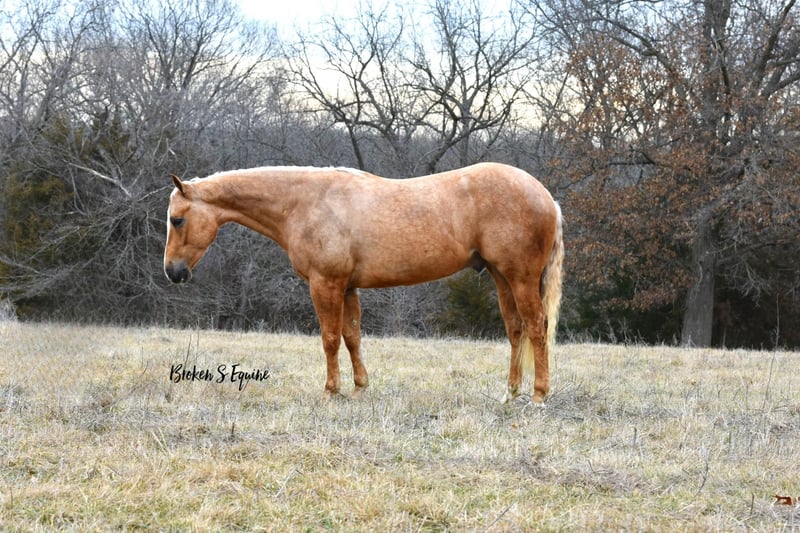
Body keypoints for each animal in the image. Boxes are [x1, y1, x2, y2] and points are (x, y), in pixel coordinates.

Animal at [164, 162, 564, 403]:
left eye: (177, 219)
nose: (172, 272)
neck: (305, 202)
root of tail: (546, 196)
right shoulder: (347, 287)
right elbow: (352, 336)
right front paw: (359, 388)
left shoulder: (325, 284)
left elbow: (329, 338)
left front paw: (330, 391)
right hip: (501, 276)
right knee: (515, 329)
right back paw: (511, 393)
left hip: (521, 277)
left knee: (536, 327)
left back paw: (539, 395)